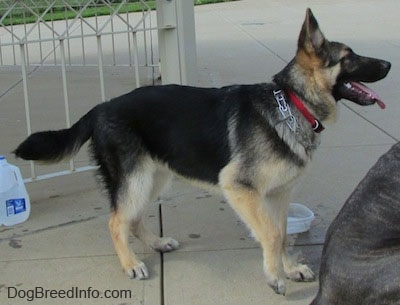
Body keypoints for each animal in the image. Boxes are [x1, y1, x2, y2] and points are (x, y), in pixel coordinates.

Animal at [14, 8, 390, 294]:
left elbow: (281, 234)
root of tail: (100, 107)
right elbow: (270, 234)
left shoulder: (277, 196)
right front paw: (274, 277)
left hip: (154, 177)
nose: (388, 64)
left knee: (132, 219)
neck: (291, 102)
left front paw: (289, 267)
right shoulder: (240, 188)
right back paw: (131, 263)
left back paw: (155, 244)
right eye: (350, 57)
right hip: (136, 179)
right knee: (116, 220)